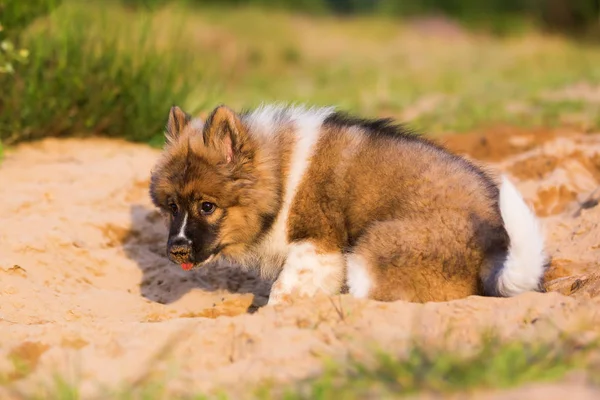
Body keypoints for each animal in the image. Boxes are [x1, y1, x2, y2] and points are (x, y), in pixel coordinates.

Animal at [150, 104, 548, 304]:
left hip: (371, 253)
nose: (176, 250)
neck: (280, 175)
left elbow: (283, 292)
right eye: (172, 207)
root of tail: (495, 253)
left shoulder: (317, 247)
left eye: (207, 206)